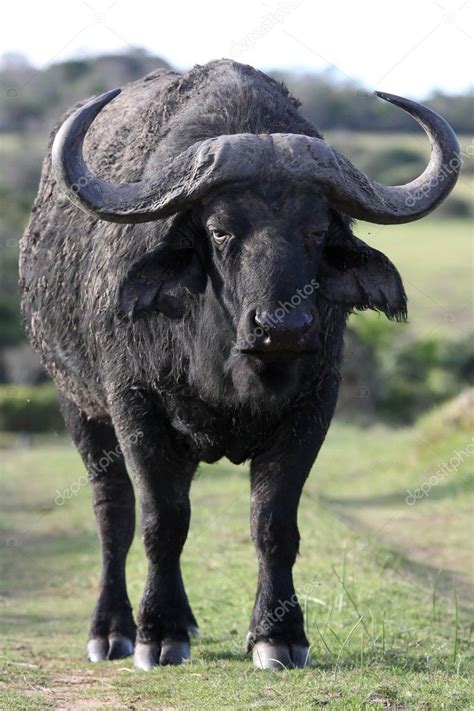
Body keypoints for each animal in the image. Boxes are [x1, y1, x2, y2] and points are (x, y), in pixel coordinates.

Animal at [20, 59, 462, 668]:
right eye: (220, 229)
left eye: (316, 229)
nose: (283, 327)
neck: (228, 364)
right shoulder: (134, 406)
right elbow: (159, 521)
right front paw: (158, 634)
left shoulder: (313, 409)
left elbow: (272, 523)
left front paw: (278, 635)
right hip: (78, 406)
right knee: (113, 513)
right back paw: (112, 629)